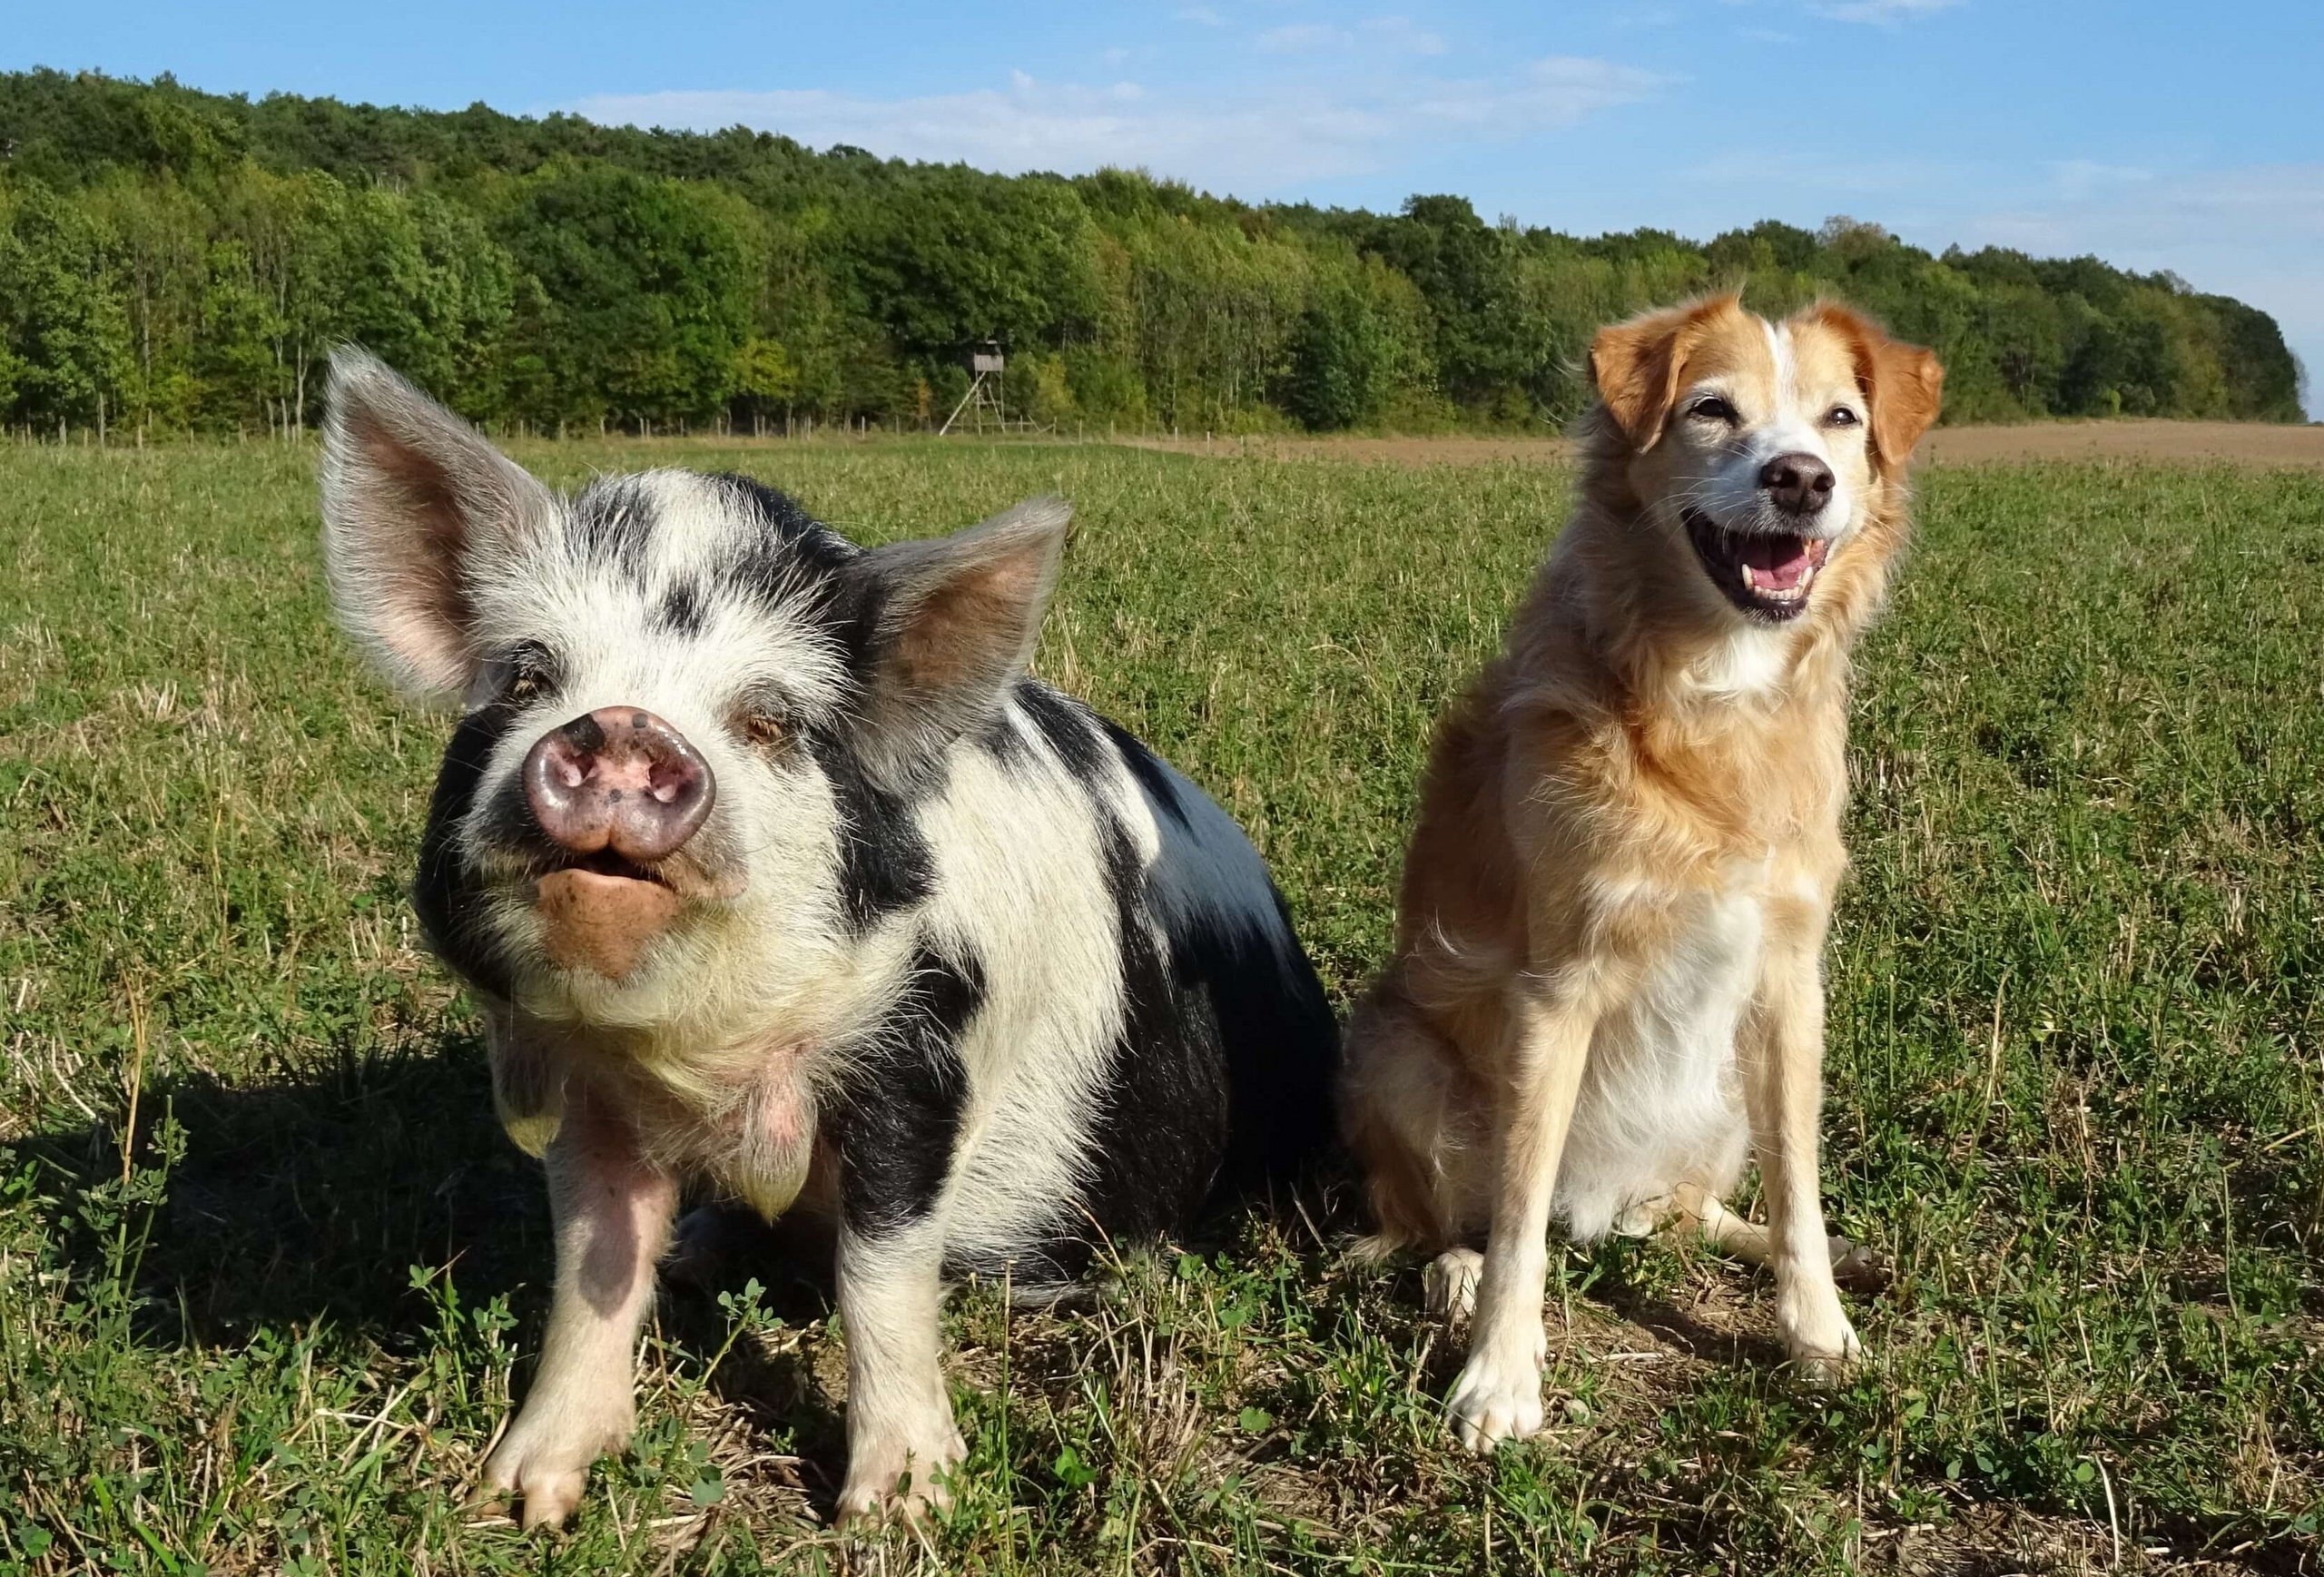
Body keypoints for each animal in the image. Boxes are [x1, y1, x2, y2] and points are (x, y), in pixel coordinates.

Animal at [325, 350, 1347, 1523]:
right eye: (528, 677)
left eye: (769, 721)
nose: (623, 727)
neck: (691, 1054)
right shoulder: (585, 1087)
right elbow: (591, 1261)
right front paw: (526, 1500)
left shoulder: (919, 1049)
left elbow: (882, 1274)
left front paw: (902, 1507)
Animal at [1338, 296, 1933, 1458]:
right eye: (1711, 410)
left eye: (1840, 419)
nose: (1802, 479)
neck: (1716, 692)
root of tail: (1604, 1206)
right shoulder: (1555, 990)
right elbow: (1520, 1214)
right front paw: (1499, 1376)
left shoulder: (1789, 983)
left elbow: (1800, 1187)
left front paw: (1819, 1329)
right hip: (1396, 1055)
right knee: (1445, 1218)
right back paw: (1453, 1274)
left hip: (1722, 1094)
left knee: (1693, 1212)